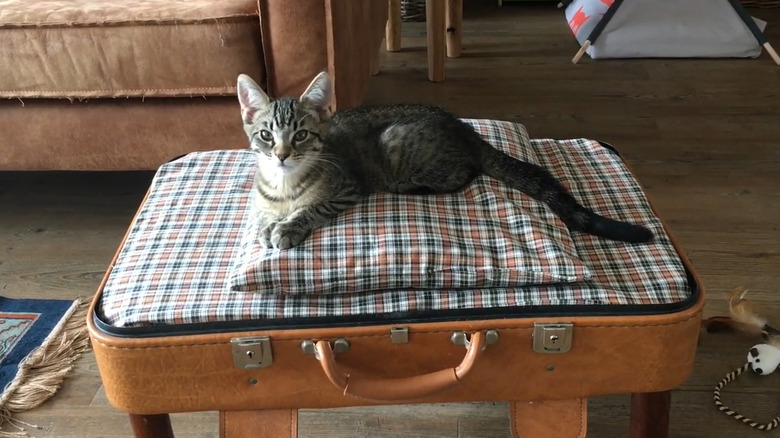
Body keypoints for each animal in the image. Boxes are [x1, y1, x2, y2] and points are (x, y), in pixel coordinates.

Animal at [236, 72, 652, 250]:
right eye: (266, 135)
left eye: (301, 135)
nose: (282, 154)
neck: (285, 184)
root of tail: (463, 127)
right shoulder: (262, 199)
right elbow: (261, 213)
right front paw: (268, 225)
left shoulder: (346, 189)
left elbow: (312, 208)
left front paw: (288, 228)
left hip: (397, 142)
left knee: (463, 174)